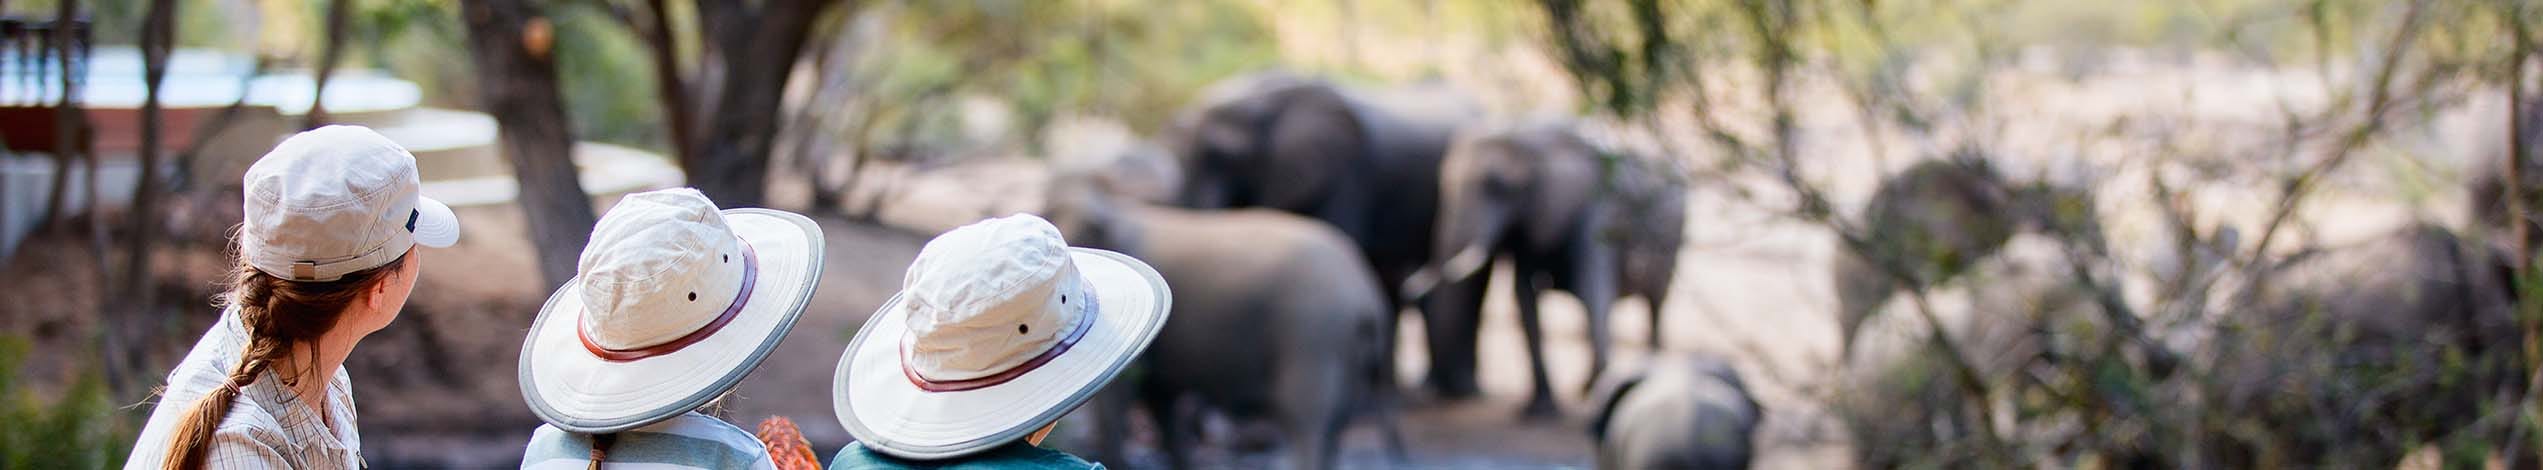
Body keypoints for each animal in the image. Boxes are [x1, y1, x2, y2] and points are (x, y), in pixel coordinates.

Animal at [1047, 174, 1424, 467]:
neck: (1112, 205)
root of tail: (1366, 294)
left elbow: (1123, 400)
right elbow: (1161, 402)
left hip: (1314, 335)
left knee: (1307, 422)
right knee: (1334, 425)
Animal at [1413, 121, 1688, 419]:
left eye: (1497, 186)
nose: (1410, 287)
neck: (1531, 139)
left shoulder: (1597, 208)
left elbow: (1593, 289)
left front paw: (1595, 395)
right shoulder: (1528, 225)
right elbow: (1524, 300)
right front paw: (1540, 410)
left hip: (1672, 239)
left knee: (1654, 304)